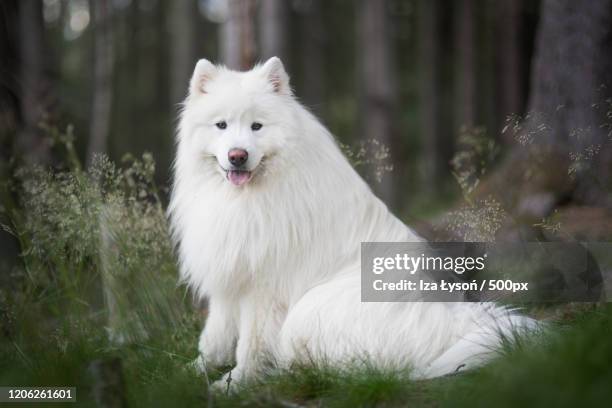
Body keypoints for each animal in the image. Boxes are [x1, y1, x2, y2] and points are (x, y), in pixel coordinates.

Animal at [167, 56, 536, 388]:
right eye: (222, 125)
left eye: (257, 126)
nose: (237, 156)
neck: (247, 197)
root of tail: (451, 325)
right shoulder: (229, 274)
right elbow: (214, 336)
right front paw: (190, 372)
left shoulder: (265, 290)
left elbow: (251, 346)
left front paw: (234, 383)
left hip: (309, 309)